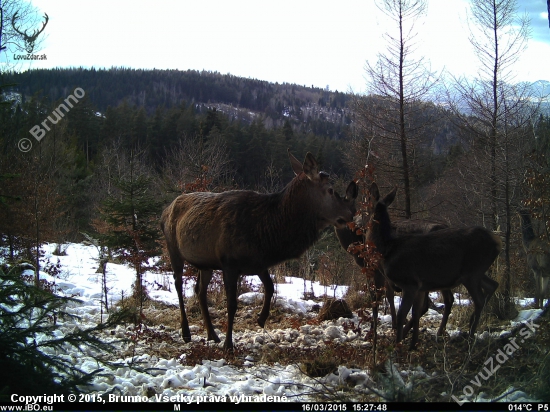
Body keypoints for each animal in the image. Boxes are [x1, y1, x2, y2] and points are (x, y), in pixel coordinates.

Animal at [338, 185, 454, 336]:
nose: (354, 223)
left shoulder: (375, 270)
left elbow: (383, 296)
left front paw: (380, 327)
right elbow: (390, 295)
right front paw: (393, 323)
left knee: (438, 301)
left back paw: (435, 331)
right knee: (444, 299)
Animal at [364, 183, 502, 348]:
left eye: (367, 201)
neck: (387, 249)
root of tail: (497, 241)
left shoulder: (409, 282)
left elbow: (402, 313)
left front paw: (398, 344)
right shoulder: (420, 286)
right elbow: (416, 311)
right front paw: (413, 344)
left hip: (472, 272)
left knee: (478, 300)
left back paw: (469, 337)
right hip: (476, 272)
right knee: (492, 285)